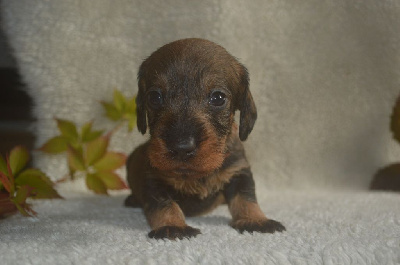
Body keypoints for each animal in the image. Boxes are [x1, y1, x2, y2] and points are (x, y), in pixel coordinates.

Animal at [125, 37, 284, 239]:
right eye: (154, 96)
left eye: (218, 98)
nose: (181, 146)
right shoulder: (154, 179)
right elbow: (165, 205)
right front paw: (172, 225)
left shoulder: (239, 172)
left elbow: (245, 198)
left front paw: (255, 219)